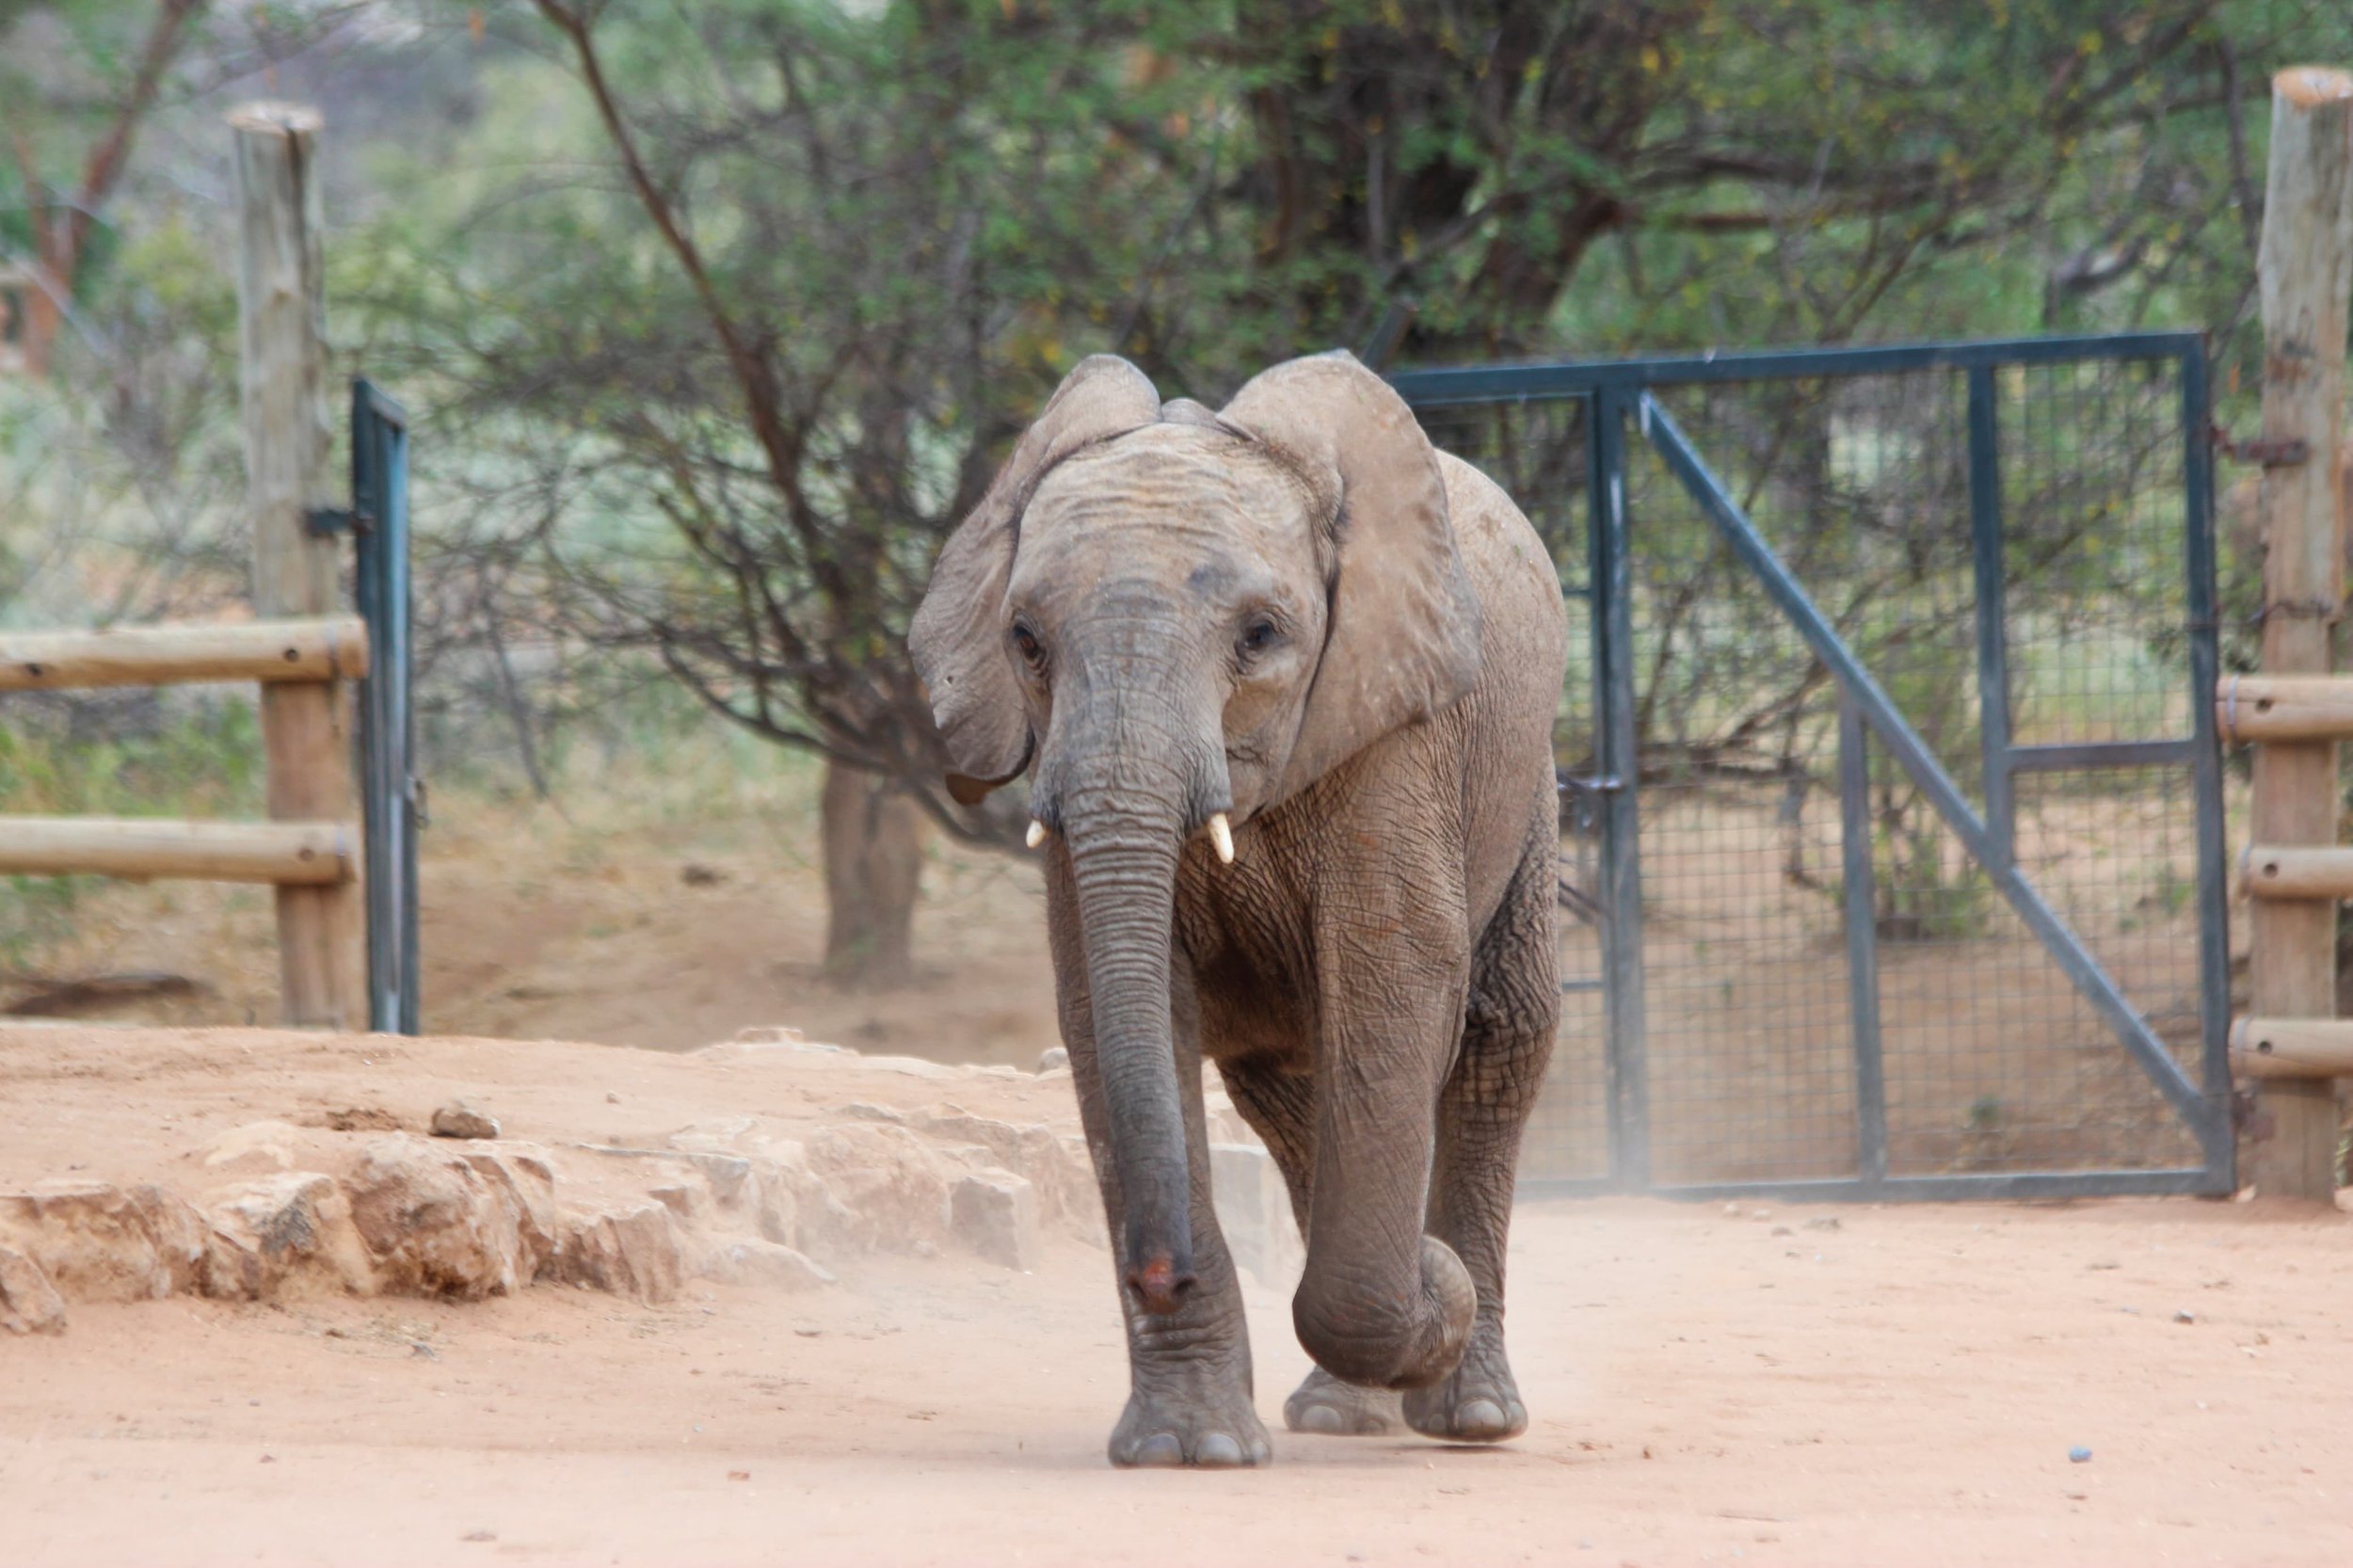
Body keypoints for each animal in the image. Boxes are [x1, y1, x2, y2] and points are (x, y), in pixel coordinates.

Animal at [908, 348, 1572, 1459]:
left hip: (1527, 793)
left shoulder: (1398, 739)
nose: (1156, 1274)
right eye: (1025, 641)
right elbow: (1107, 1011)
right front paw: (1190, 1453)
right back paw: (1344, 1410)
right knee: (1288, 1093)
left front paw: (1434, 1288)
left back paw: (1472, 1411)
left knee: (1496, 1040)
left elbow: (1395, 982)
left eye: (1261, 636)